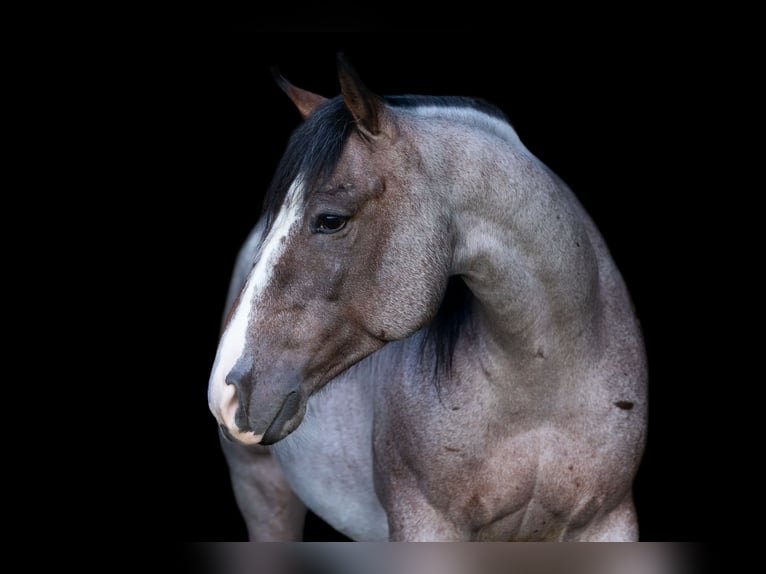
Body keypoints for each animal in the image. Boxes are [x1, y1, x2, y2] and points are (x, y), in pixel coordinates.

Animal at [207, 54, 647, 541]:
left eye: (330, 220)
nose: (225, 390)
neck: (543, 388)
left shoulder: (609, 523)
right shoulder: (425, 525)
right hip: (262, 490)